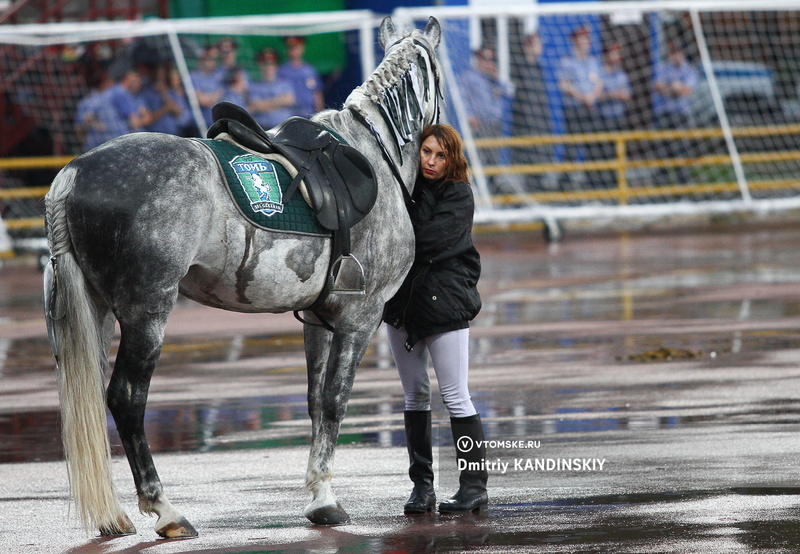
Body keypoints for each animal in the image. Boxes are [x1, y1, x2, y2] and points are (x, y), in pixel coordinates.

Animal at [42, 17, 444, 536]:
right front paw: (327, 499)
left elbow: (316, 401)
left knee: (87, 401)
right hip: (146, 311)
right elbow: (335, 401)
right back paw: (166, 510)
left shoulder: (318, 320)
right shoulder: (360, 317)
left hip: (94, 311)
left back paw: (113, 516)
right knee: (127, 399)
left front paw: (316, 495)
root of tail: (72, 174)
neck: (373, 153)